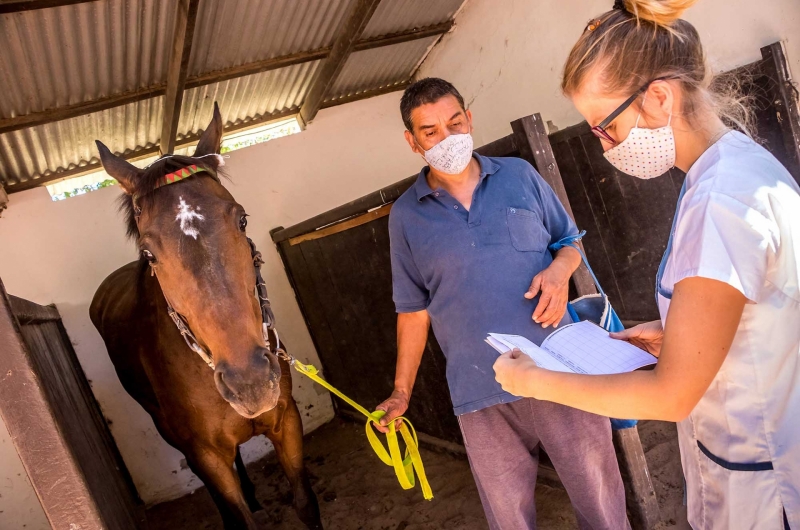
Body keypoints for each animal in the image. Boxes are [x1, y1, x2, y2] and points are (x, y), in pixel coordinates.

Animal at [90, 105, 322, 524]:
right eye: (148, 254)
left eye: (242, 220)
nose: (250, 382)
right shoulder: (205, 454)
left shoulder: (287, 421)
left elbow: (304, 502)